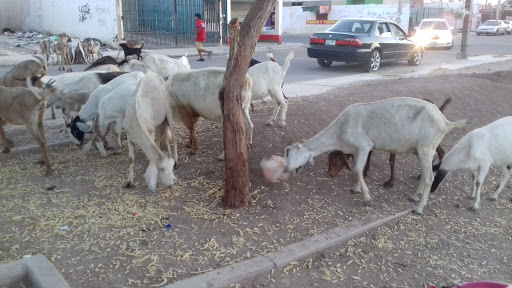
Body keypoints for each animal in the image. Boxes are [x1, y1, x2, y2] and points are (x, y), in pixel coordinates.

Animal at [284, 98, 468, 215]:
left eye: (292, 154)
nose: (286, 169)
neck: (339, 130)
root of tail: (445, 122)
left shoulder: (364, 145)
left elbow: (357, 170)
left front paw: (366, 198)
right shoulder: (357, 149)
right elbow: (358, 169)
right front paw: (357, 189)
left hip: (426, 147)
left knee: (429, 177)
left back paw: (419, 208)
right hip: (420, 149)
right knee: (424, 174)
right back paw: (414, 196)